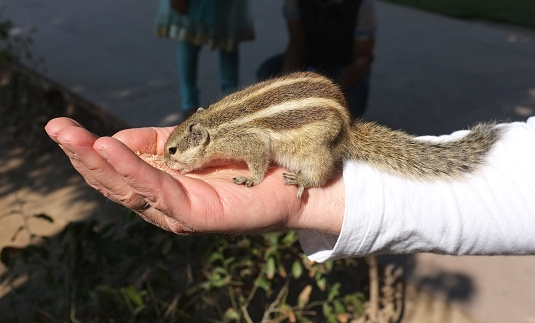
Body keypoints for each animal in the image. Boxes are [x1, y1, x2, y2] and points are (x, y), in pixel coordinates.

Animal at [164, 72, 502, 199]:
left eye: (172, 150)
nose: (165, 163)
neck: (213, 124)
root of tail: (348, 131)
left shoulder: (249, 141)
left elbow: (259, 160)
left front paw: (250, 179)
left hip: (315, 152)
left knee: (322, 173)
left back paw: (303, 180)